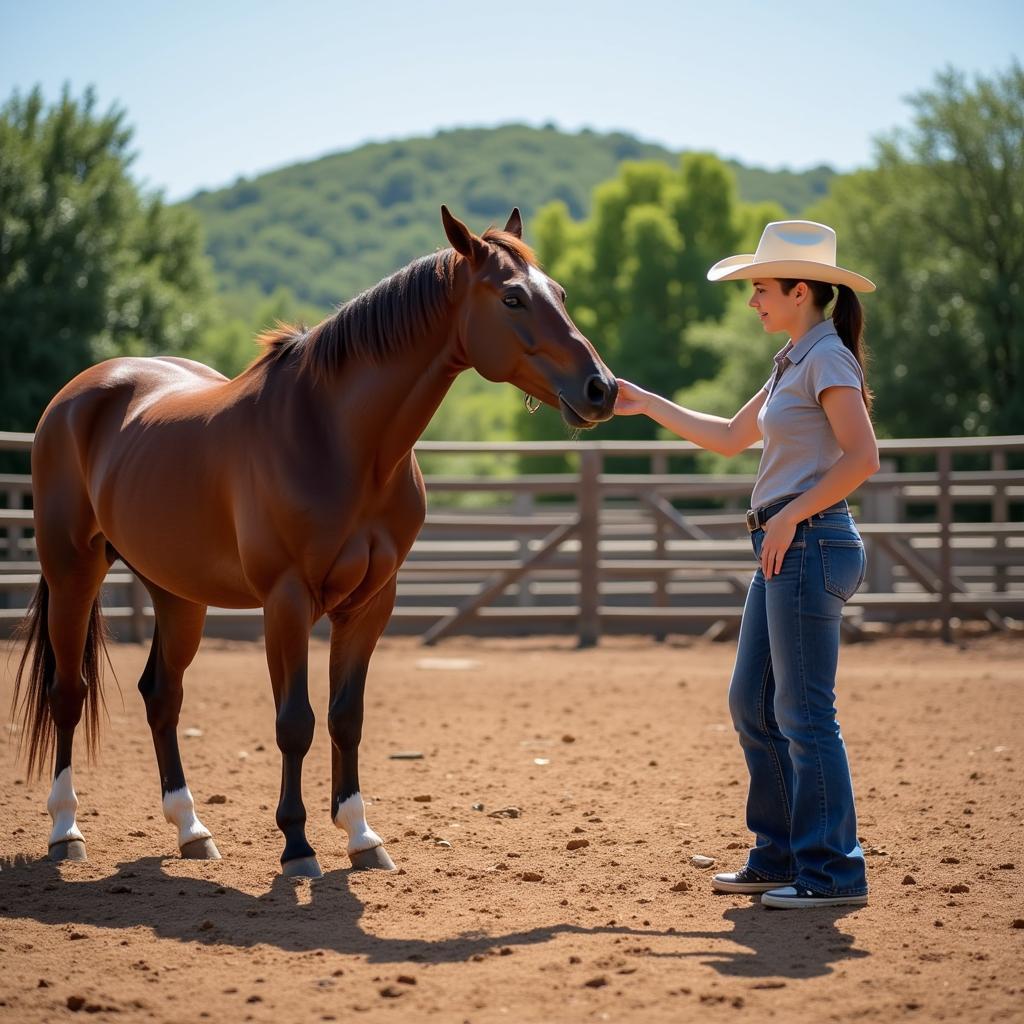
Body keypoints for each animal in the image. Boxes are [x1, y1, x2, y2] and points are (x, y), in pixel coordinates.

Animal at [9, 203, 614, 876]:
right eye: (512, 297)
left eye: (559, 292)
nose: (601, 388)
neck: (338, 437)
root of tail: (79, 395)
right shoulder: (287, 599)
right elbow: (294, 721)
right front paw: (297, 846)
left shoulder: (371, 602)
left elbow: (345, 717)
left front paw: (361, 836)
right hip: (73, 571)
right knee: (68, 693)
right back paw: (66, 830)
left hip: (177, 594)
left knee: (162, 695)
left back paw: (191, 829)